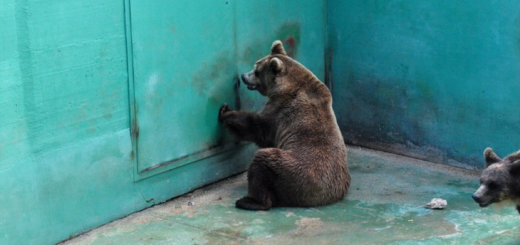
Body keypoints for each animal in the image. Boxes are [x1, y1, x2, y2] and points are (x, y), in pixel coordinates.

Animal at [217, 40, 352, 211]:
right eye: (255, 65)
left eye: (257, 71)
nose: (243, 76)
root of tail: (322, 197)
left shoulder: (280, 109)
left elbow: (259, 128)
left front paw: (225, 111)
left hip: (292, 170)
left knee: (262, 162)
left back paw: (248, 201)